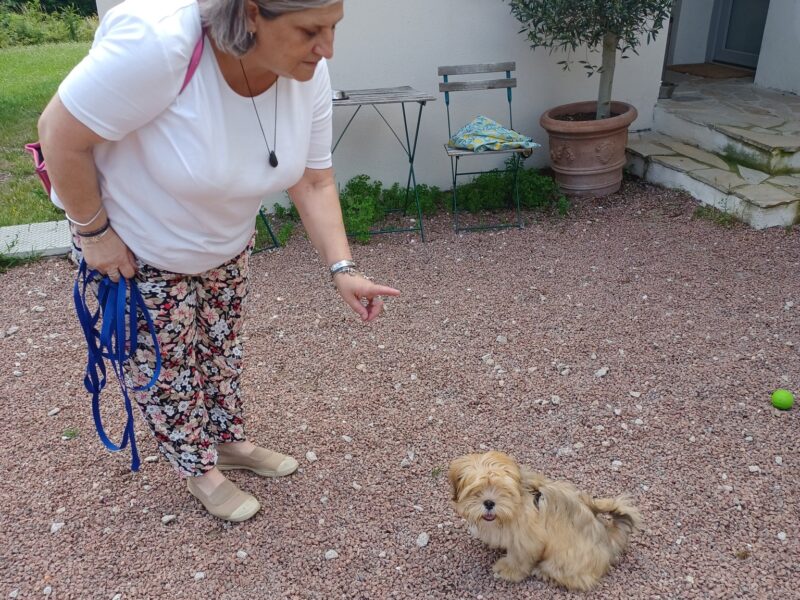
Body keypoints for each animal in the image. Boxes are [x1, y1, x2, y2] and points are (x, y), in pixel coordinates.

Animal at [450, 452, 644, 588]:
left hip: (564, 558)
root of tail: (608, 540)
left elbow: (518, 557)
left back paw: (541, 571)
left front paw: (508, 570)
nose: (489, 502)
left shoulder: (527, 540)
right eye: (476, 490)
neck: (517, 504)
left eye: (503, 490)